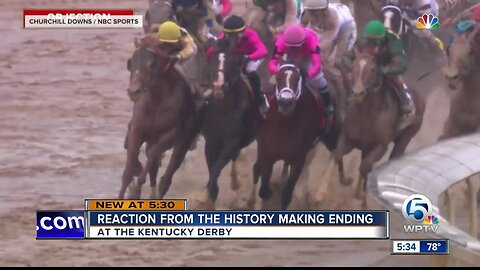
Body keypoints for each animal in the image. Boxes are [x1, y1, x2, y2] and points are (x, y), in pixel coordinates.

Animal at [121, 34, 203, 199]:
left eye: (152, 64)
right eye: (131, 62)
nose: (133, 91)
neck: (157, 100)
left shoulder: (172, 134)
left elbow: (153, 154)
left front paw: (136, 189)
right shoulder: (138, 130)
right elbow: (129, 166)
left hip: (184, 143)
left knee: (166, 177)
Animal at [199, 38, 264, 210]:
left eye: (231, 61)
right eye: (212, 60)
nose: (218, 86)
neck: (223, 109)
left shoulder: (231, 142)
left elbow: (216, 168)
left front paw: (204, 195)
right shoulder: (211, 141)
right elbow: (212, 169)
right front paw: (209, 197)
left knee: (258, 168)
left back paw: (250, 200)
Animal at [253, 63, 340, 211]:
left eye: (297, 79)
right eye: (278, 78)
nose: (286, 102)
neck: (285, 126)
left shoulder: (298, 160)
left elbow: (287, 194)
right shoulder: (268, 153)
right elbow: (263, 189)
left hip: (330, 135)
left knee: (336, 153)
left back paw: (321, 193)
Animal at [326, 46, 424, 208]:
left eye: (372, 69)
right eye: (354, 66)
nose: (357, 92)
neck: (367, 112)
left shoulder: (381, 146)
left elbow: (365, 167)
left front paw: (363, 199)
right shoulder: (348, 137)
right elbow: (337, 155)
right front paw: (320, 194)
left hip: (405, 138)